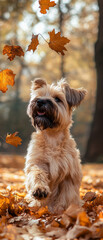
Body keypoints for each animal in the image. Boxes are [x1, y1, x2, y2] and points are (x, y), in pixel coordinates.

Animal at [24, 79, 86, 214]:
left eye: (57, 99)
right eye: (39, 95)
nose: (40, 101)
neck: (52, 137)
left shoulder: (68, 174)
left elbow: (65, 195)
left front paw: (60, 209)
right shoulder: (37, 163)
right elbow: (37, 174)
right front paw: (39, 190)